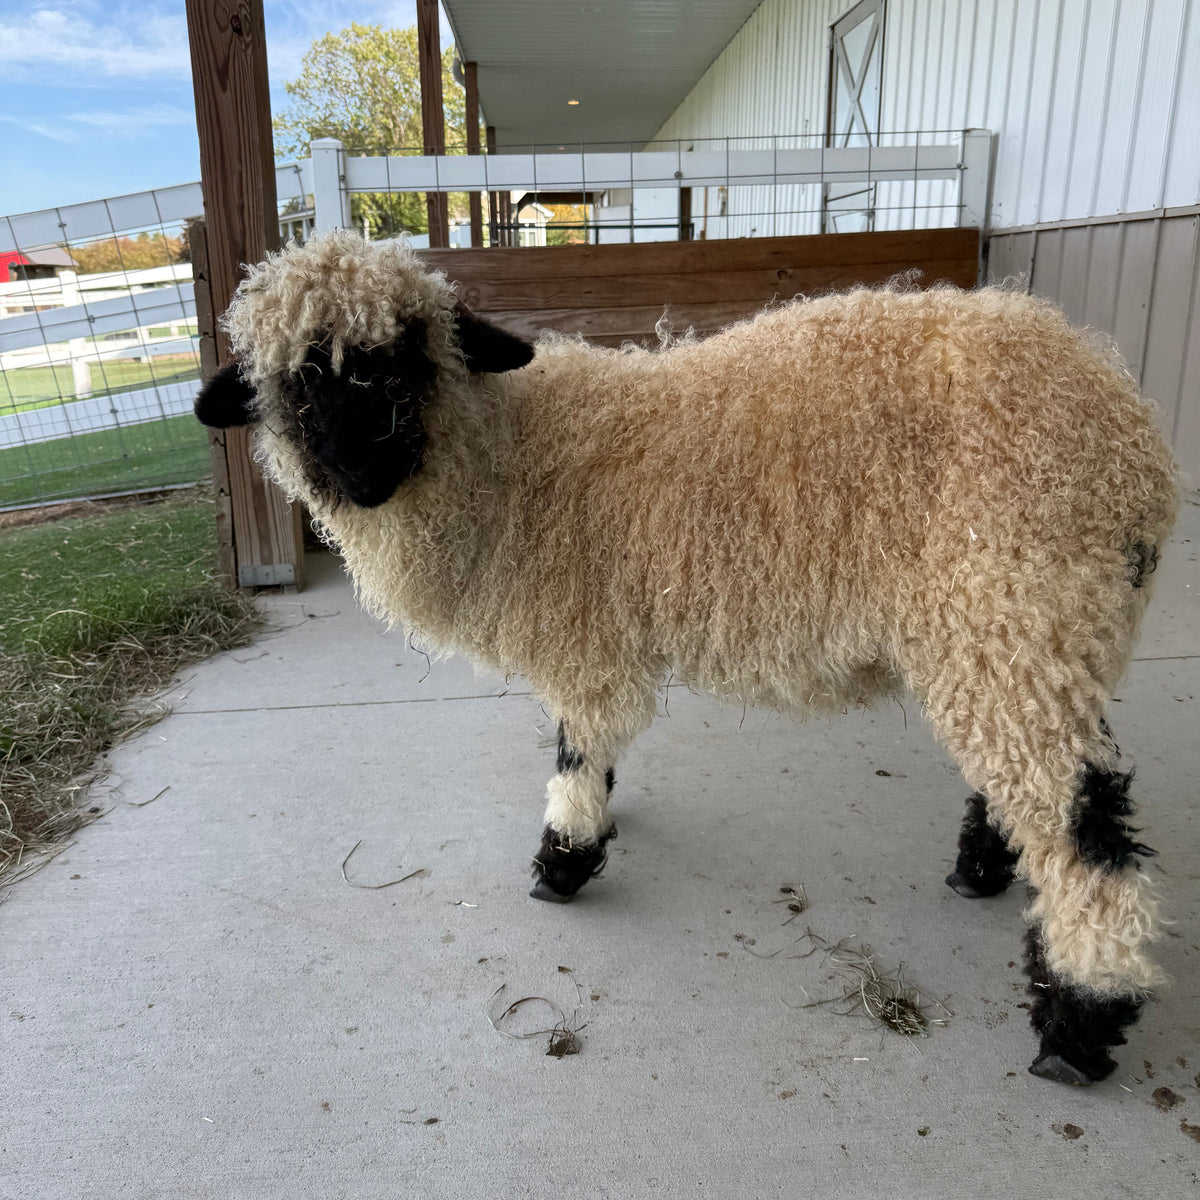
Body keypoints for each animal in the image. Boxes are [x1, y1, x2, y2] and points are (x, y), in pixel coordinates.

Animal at [195, 229, 1178, 1086]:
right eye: (294, 385)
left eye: (408, 360)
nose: (363, 474)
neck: (507, 459)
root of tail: (1131, 439)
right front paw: (600, 824)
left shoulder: (583, 636)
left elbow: (577, 750)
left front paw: (564, 859)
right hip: (1019, 633)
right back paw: (982, 871)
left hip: (1016, 603)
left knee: (1083, 822)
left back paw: (1081, 1021)